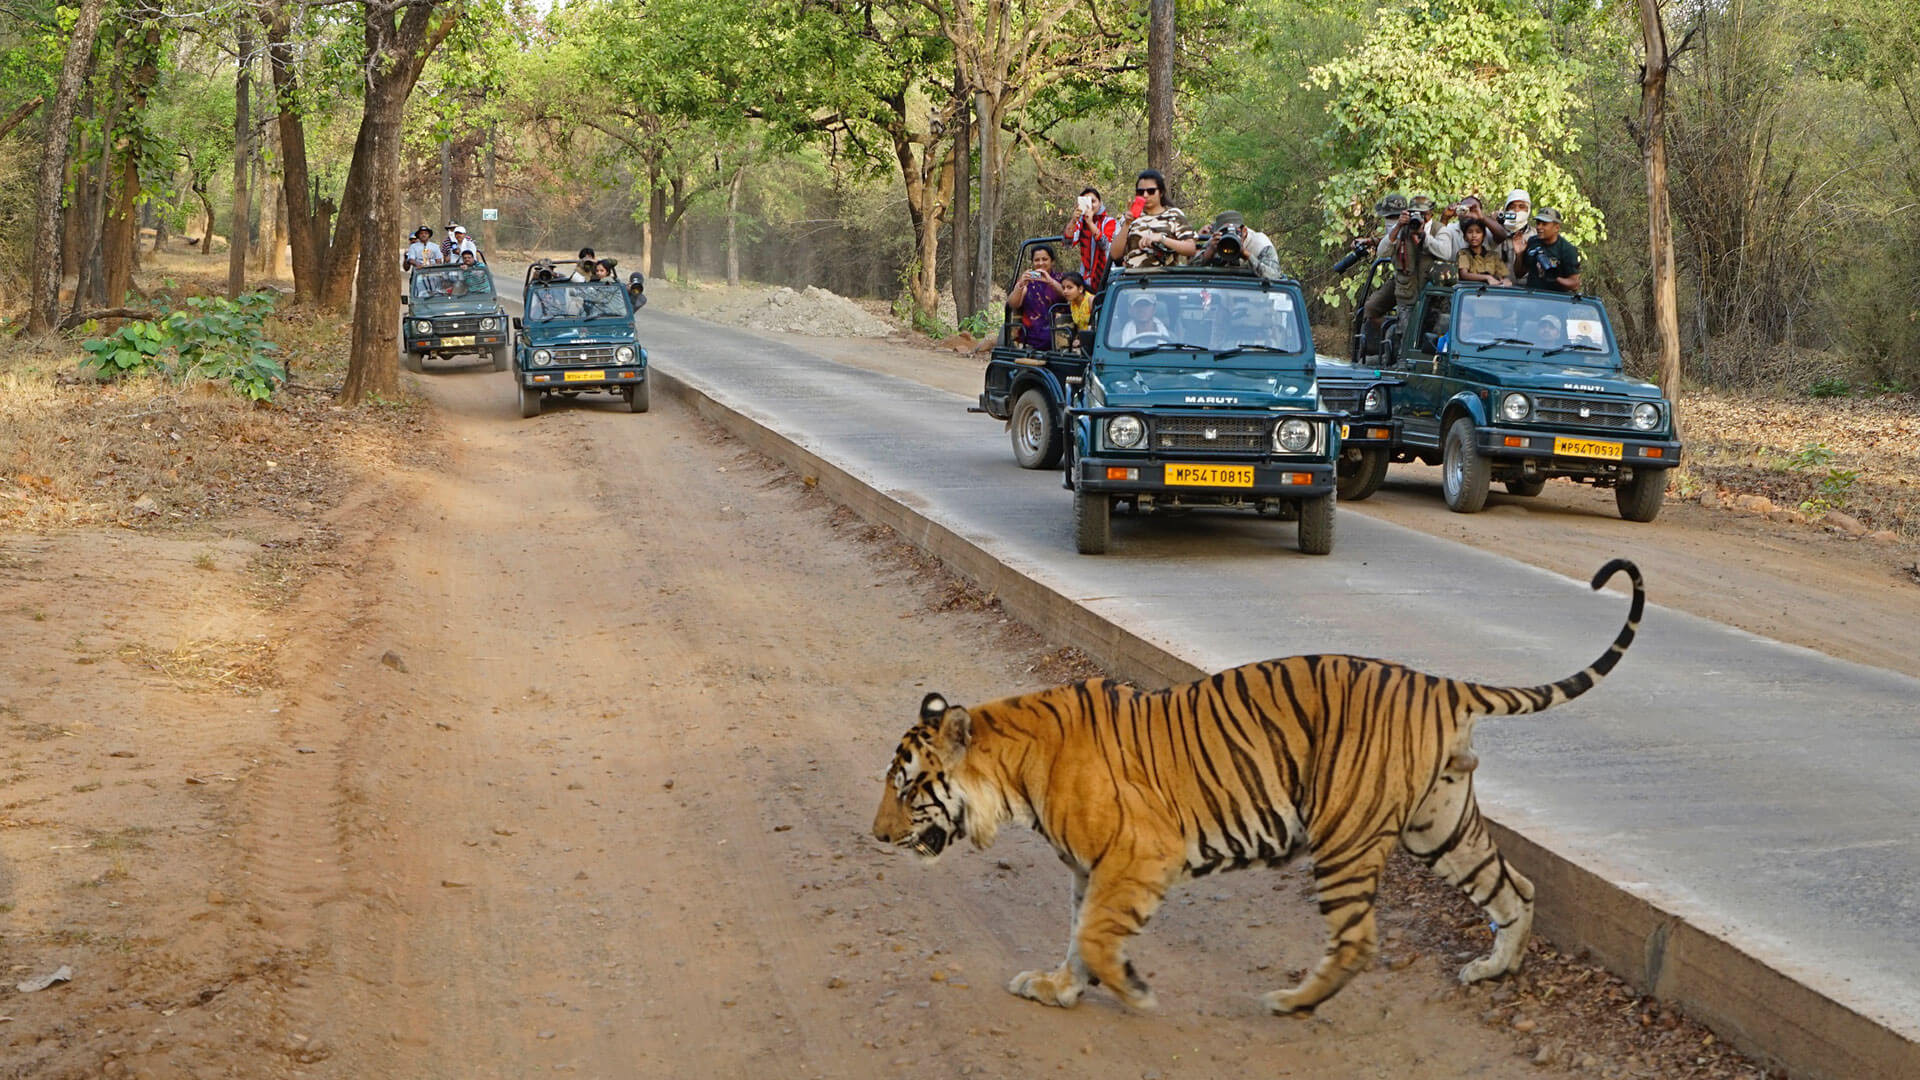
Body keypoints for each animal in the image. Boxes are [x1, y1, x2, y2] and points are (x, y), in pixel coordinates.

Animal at [879, 557, 1643, 1014]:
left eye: (910, 788)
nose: (878, 836)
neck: (1012, 771)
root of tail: (1437, 682)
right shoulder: (1090, 869)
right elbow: (1075, 934)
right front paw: (1057, 987)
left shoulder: (1138, 855)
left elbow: (1095, 935)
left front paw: (1132, 991)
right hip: (1441, 825)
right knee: (1517, 888)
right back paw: (1494, 970)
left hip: (1345, 835)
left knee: (1359, 940)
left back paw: (1294, 1002)